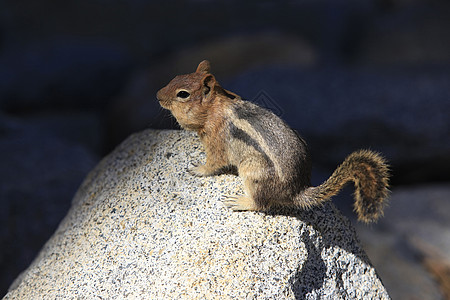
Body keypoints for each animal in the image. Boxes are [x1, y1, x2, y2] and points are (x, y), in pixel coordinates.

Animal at [156, 60, 388, 223]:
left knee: (261, 204)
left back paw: (240, 201)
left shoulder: (216, 140)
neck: (216, 107)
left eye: (183, 94)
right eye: (176, 76)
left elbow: (214, 163)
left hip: (252, 171)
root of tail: (297, 191)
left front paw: (198, 169)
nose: (157, 95)